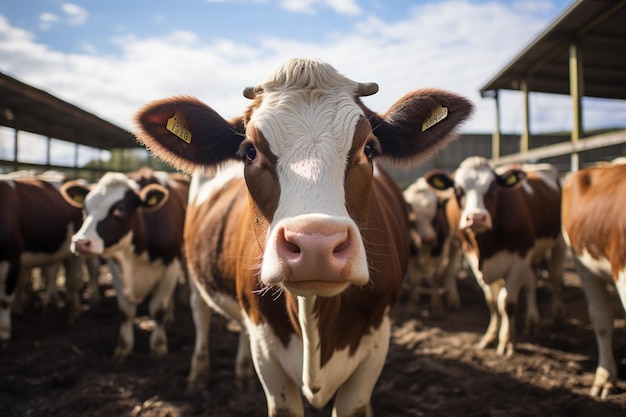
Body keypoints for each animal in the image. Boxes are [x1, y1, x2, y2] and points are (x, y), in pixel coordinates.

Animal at [60, 167, 188, 360]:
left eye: (119, 210)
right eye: (84, 208)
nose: (80, 242)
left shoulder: (170, 266)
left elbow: (158, 309)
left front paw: (158, 347)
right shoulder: (116, 268)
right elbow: (126, 311)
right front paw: (123, 349)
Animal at [402, 174, 460, 314]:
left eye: (436, 213)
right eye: (413, 219)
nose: (428, 239)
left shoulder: (441, 250)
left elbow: (437, 277)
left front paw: (437, 306)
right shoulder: (412, 251)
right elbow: (415, 280)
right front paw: (412, 305)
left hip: (454, 243)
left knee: (451, 269)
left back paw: (453, 298)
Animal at [424, 156, 564, 354]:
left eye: (492, 187)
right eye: (458, 190)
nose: (476, 218)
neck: (484, 246)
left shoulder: (519, 259)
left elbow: (506, 303)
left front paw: (506, 342)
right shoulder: (473, 260)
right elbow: (492, 301)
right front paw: (491, 336)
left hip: (558, 242)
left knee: (554, 278)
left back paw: (557, 315)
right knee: (531, 283)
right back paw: (531, 322)